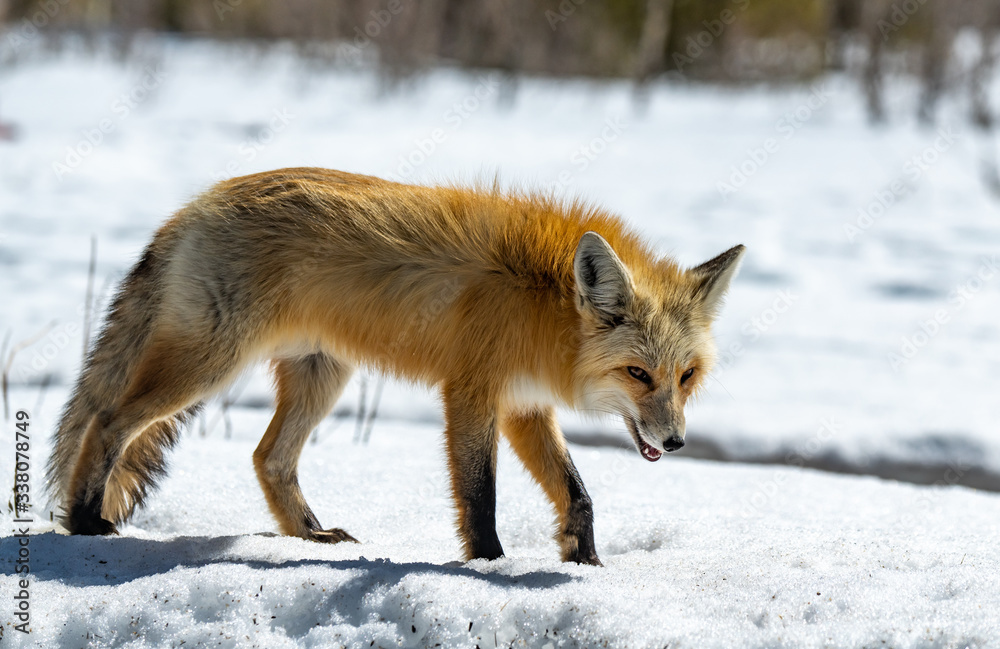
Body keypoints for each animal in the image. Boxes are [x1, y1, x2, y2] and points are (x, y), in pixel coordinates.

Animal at [46, 167, 744, 565]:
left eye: (685, 376)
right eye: (638, 374)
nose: (676, 442)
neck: (542, 303)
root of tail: (194, 205)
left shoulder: (523, 406)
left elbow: (579, 493)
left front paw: (587, 562)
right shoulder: (471, 393)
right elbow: (480, 495)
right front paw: (488, 565)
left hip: (322, 377)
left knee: (268, 457)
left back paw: (310, 537)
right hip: (209, 365)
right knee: (108, 422)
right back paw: (83, 520)